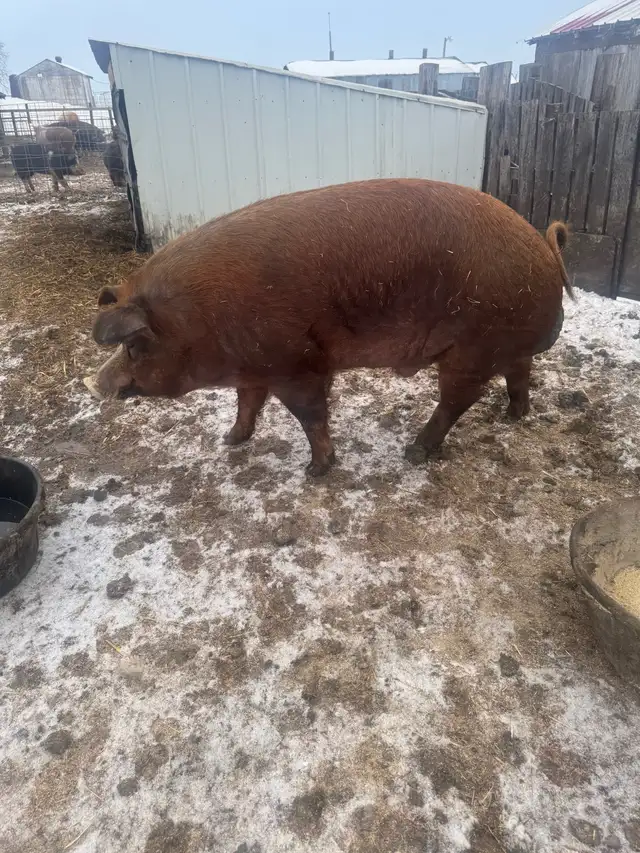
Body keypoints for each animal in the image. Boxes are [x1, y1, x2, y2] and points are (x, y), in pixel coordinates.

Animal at [87, 178, 571, 476]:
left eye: (133, 346)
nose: (94, 383)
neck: (197, 320)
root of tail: (545, 252)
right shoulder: (255, 367)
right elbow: (247, 404)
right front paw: (230, 440)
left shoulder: (297, 363)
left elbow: (310, 414)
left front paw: (316, 470)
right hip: (502, 345)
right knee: (519, 372)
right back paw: (514, 416)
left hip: (472, 349)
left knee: (457, 401)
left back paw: (414, 451)